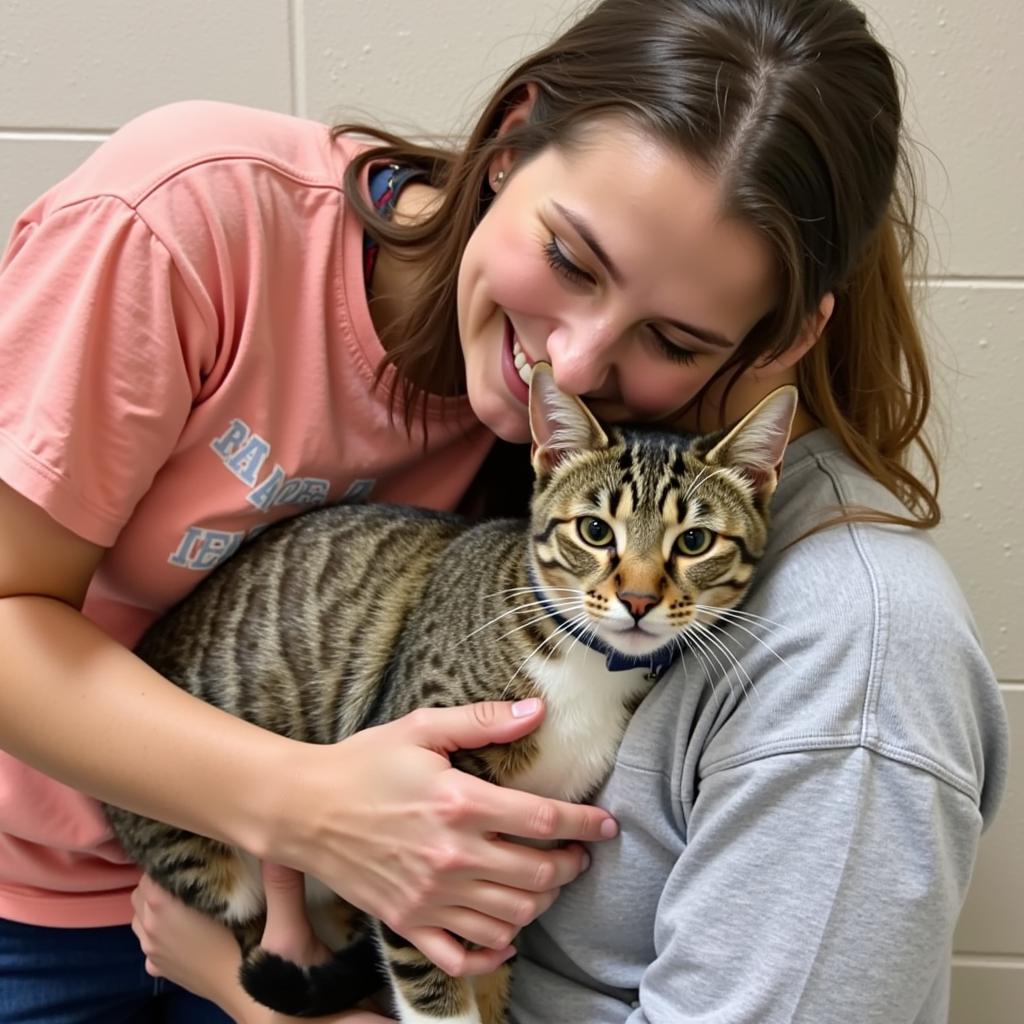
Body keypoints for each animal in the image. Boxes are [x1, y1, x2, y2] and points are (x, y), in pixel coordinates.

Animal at [103, 364, 794, 1019]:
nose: (640, 600)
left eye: (694, 541)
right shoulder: (420, 834)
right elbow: (428, 968)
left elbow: (489, 966)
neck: (586, 666)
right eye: (596, 531)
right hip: (209, 863)